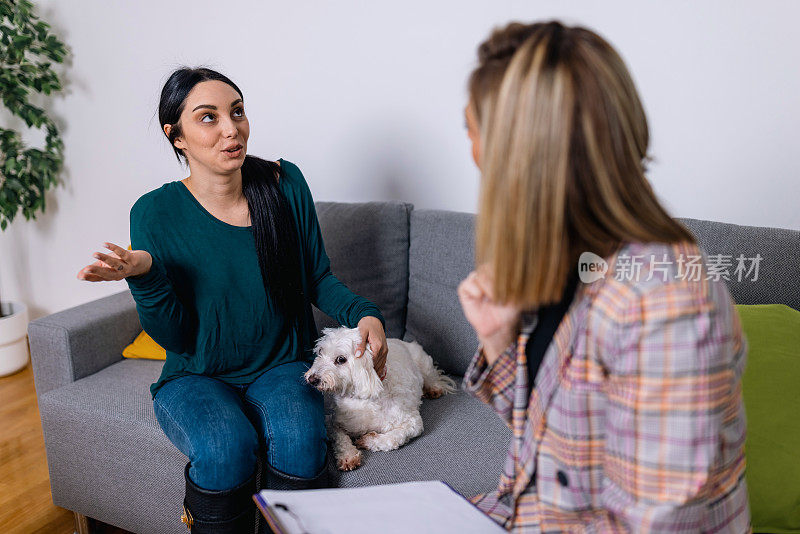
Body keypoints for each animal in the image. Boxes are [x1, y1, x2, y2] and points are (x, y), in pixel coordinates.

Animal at [304, 326, 456, 474]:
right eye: (320, 352)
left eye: (341, 359)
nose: (311, 379)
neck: (364, 400)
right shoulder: (331, 422)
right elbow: (340, 438)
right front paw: (348, 456)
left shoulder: (413, 423)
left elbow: (394, 437)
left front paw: (367, 440)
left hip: (424, 365)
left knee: (432, 376)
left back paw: (434, 389)